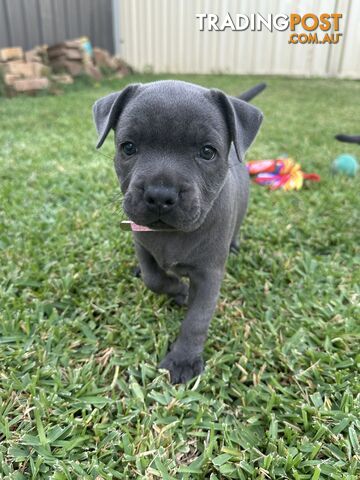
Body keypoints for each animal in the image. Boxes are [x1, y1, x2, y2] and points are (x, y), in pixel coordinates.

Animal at [91, 80, 262, 384]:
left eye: (207, 152)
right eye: (128, 147)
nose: (160, 195)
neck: (173, 234)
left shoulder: (209, 274)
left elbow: (197, 320)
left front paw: (183, 360)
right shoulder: (142, 245)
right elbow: (154, 278)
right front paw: (179, 290)